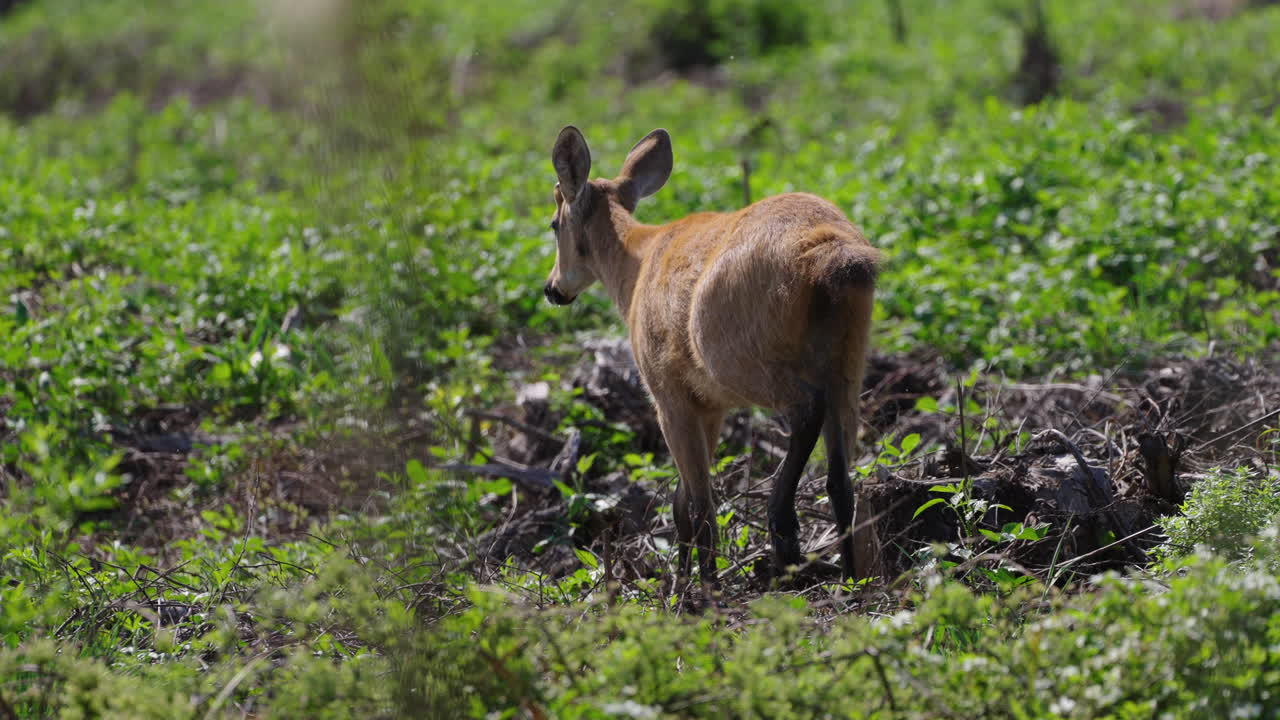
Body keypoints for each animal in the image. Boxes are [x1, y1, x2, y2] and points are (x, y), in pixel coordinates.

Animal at [542, 125, 882, 586]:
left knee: (806, 409)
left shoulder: (668, 395)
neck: (635, 271)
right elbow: (681, 502)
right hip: (847, 361)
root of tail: (830, 251)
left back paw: (783, 533)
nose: (553, 288)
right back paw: (849, 578)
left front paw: (699, 589)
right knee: (841, 479)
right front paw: (684, 582)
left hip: (739, 358)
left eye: (554, 223)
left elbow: (699, 503)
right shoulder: (710, 405)